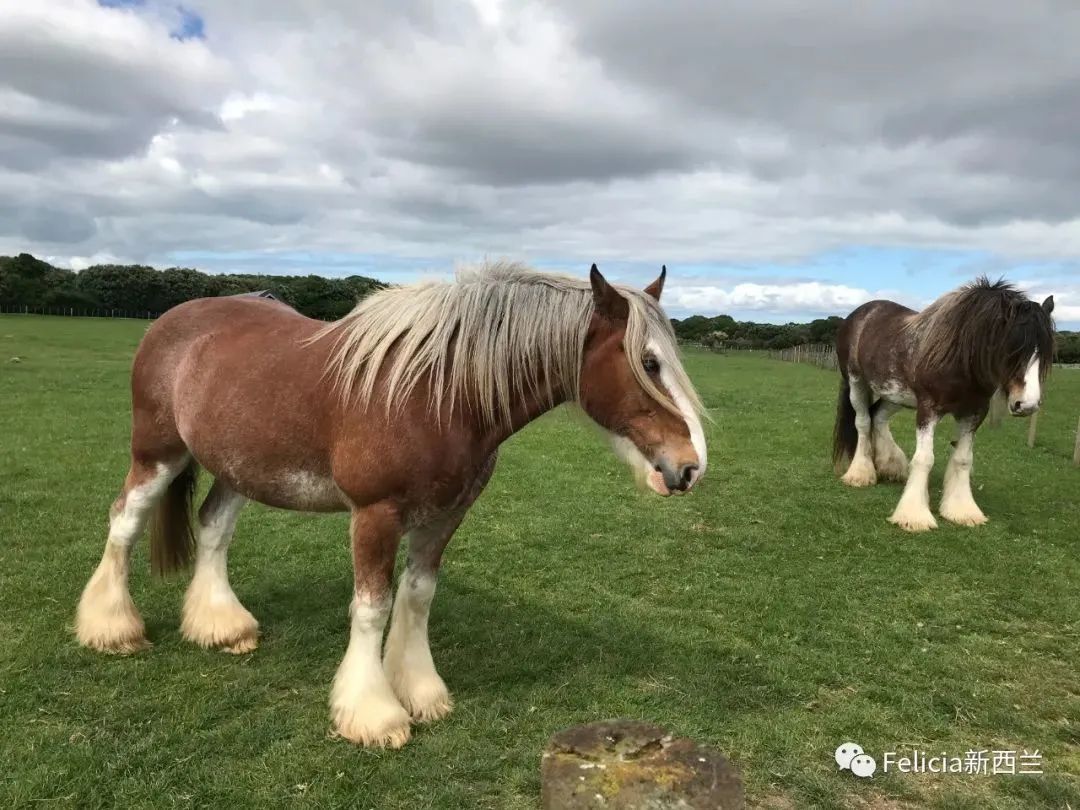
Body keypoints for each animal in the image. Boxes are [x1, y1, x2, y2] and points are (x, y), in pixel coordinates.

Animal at [73, 260, 708, 747]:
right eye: (649, 362)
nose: (689, 467)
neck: (438, 392)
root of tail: (175, 320)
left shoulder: (445, 516)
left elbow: (418, 596)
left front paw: (421, 692)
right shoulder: (374, 516)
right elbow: (372, 608)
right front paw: (373, 713)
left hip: (238, 467)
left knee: (211, 528)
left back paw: (222, 626)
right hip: (157, 453)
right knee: (124, 521)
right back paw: (112, 629)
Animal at [833, 278, 1054, 533]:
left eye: (1045, 354)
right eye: (1012, 349)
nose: (1027, 405)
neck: (960, 358)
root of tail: (859, 314)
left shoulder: (973, 413)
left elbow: (963, 459)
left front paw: (962, 510)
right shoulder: (928, 410)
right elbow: (925, 458)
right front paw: (914, 516)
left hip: (895, 394)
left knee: (878, 417)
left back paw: (891, 466)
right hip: (856, 382)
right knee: (862, 421)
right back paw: (860, 474)